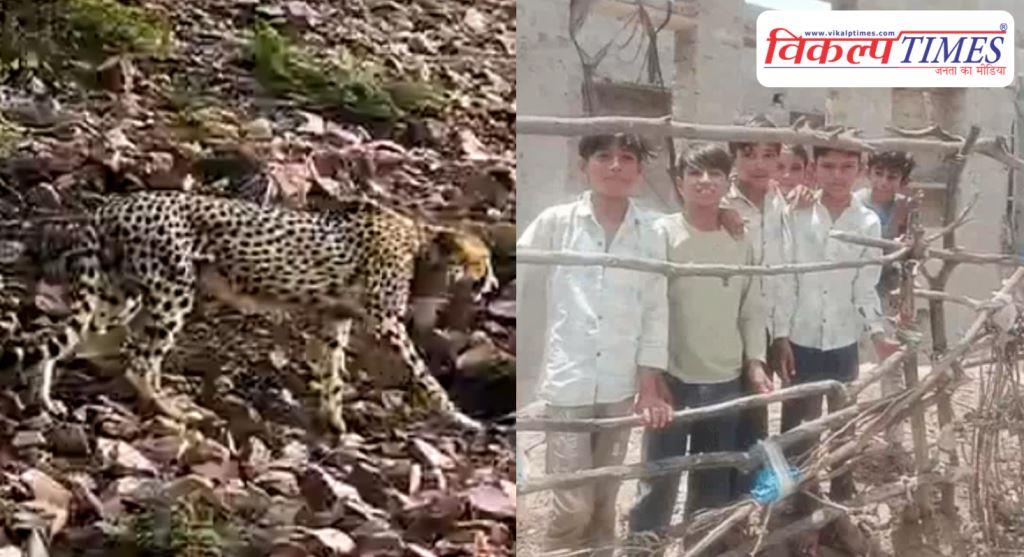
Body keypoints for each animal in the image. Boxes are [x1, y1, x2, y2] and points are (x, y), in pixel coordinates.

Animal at [0, 189, 498, 432]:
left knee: (58, 337)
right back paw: (174, 411)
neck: (419, 245)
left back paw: (42, 398)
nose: (493, 284)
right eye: (485, 262)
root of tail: (114, 203)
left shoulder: (333, 318)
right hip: (171, 292)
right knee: (140, 361)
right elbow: (426, 376)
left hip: (118, 297)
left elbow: (333, 373)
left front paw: (334, 422)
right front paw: (461, 417)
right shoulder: (387, 322)